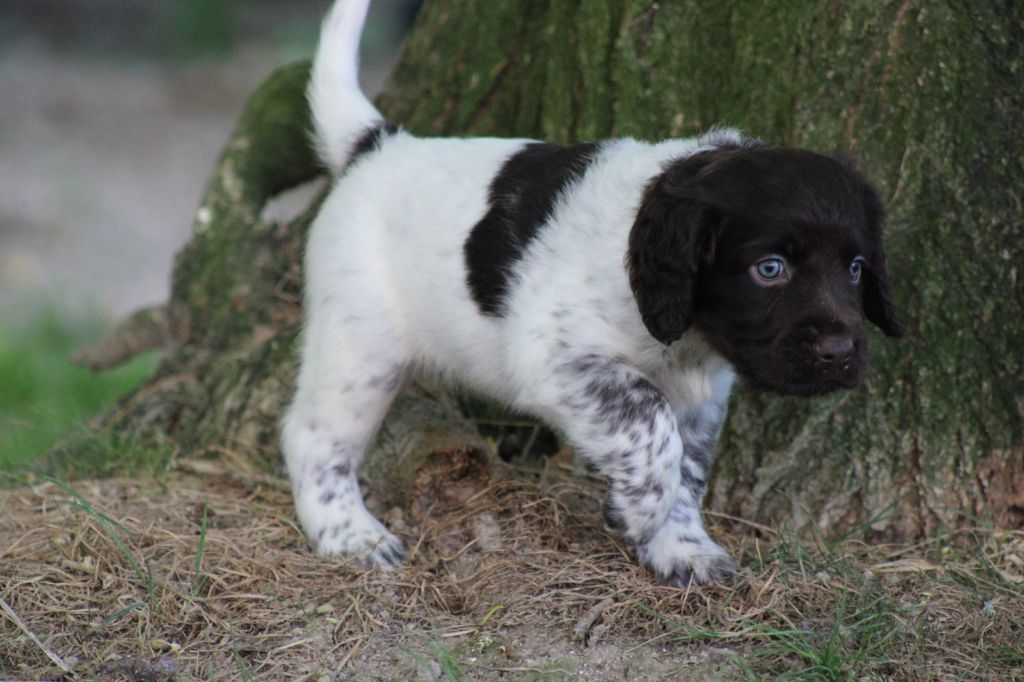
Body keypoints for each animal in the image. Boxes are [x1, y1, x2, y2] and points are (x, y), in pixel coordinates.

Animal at [280, 0, 897, 585]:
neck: (686, 337)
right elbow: (652, 424)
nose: (840, 354)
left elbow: (688, 469)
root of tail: (378, 146)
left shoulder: (701, 396)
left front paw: (681, 547)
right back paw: (350, 535)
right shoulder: (557, 358)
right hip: (361, 347)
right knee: (311, 437)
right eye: (770, 269)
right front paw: (636, 515)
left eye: (856, 268)